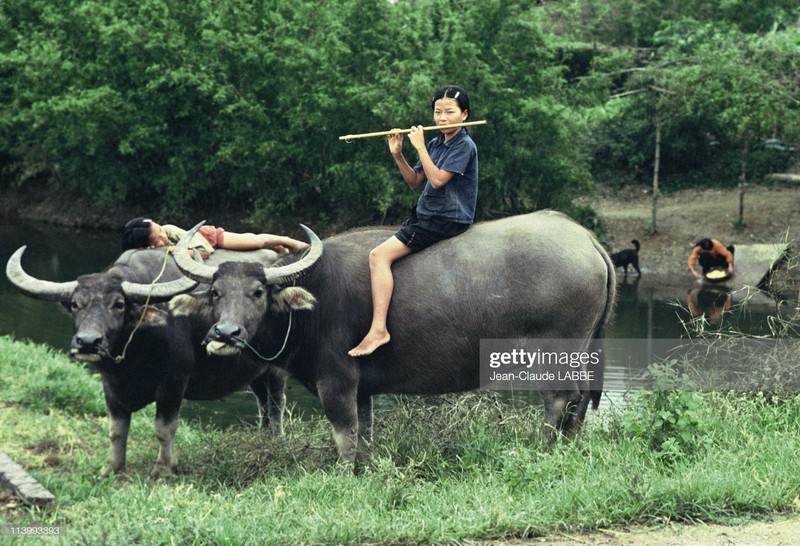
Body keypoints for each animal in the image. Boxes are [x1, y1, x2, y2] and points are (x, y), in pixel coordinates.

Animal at [5, 244, 288, 474]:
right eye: (75, 304)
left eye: (118, 304)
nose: (88, 341)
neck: (134, 351)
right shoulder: (110, 385)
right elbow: (117, 430)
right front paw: (112, 468)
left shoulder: (174, 382)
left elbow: (164, 429)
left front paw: (164, 469)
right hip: (256, 372)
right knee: (262, 403)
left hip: (276, 369)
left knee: (276, 404)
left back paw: (276, 441)